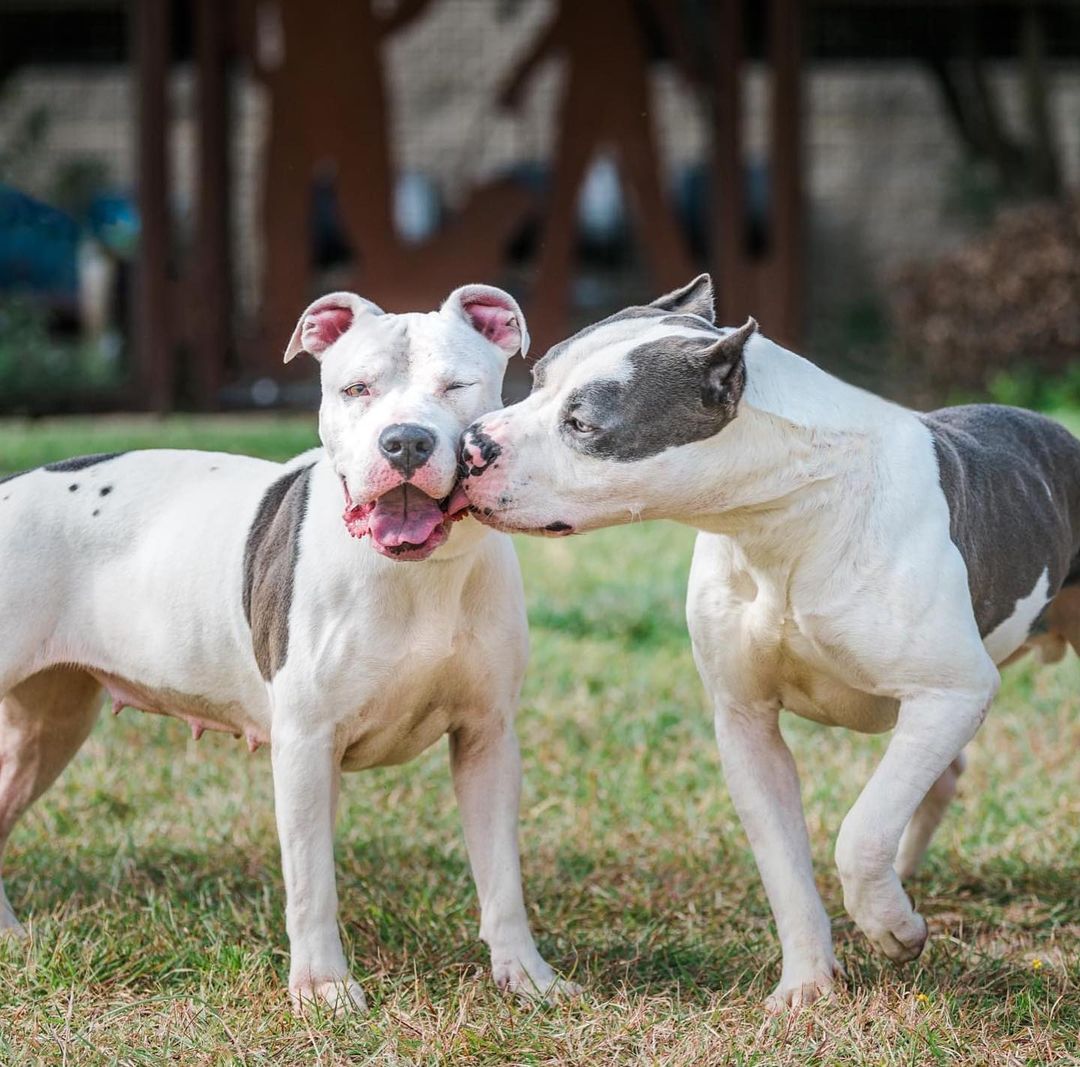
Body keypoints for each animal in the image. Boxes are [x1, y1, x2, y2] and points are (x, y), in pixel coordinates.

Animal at [0, 285, 578, 1015]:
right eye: (356, 388)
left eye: (456, 386)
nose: (406, 440)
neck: (417, 572)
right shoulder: (306, 745)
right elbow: (311, 881)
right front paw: (325, 988)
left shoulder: (487, 739)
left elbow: (501, 875)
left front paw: (526, 975)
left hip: (46, 728)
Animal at [462, 273, 1080, 1006]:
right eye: (535, 380)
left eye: (582, 424)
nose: (470, 445)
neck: (785, 512)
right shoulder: (747, 721)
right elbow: (786, 866)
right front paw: (809, 985)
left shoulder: (953, 691)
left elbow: (859, 832)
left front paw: (891, 928)